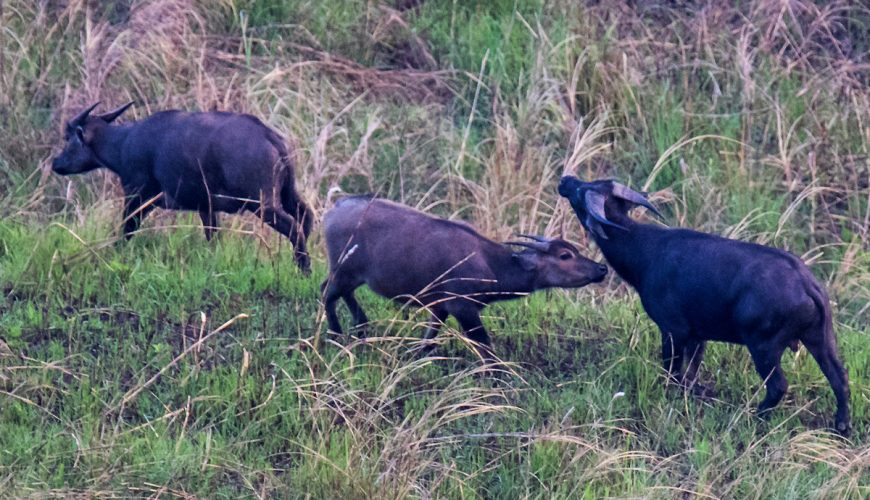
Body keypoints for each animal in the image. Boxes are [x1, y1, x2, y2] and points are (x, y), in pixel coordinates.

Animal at [52, 103, 316, 272]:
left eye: (68, 138)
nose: (56, 163)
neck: (124, 143)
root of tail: (269, 135)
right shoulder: (206, 207)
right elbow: (213, 237)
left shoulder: (138, 196)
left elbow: (127, 229)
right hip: (289, 194)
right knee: (306, 217)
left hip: (262, 203)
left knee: (294, 227)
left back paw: (303, 269)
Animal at [324, 195, 608, 360]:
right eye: (565, 255)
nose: (601, 269)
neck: (491, 266)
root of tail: (335, 208)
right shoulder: (463, 308)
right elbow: (485, 346)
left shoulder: (439, 307)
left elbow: (429, 339)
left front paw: (414, 356)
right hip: (343, 271)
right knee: (326, 293)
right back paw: (336, 333)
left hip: (351, 276)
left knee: (341, 294)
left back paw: (361, 326)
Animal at [560, 175, 852, 434]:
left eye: (582, 192)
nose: (565, 180)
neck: (644, 250)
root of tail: (806, 283)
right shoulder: (697, 336)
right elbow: (691, 373)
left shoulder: (673, 331)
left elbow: (672, 371)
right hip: (820, 338)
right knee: (840, 379)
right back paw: (842, 426)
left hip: (764, 347)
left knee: (779, 386)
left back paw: (755, 416)